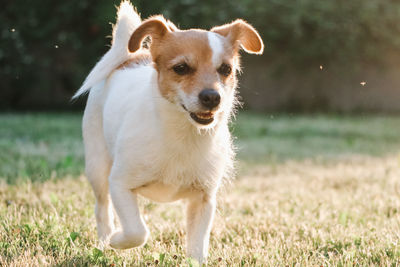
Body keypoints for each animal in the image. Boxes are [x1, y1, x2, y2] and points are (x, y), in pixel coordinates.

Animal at [73, 0, 264, 264]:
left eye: (226, 69)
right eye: (181, 68)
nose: (212, 97)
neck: (183, 135)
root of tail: (132, 56)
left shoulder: (204, 199)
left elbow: (197, 248)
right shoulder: (120, 184)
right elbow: (137, 231)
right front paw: (117, 241)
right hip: (97, 168)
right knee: (102, 209)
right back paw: (105, 241)